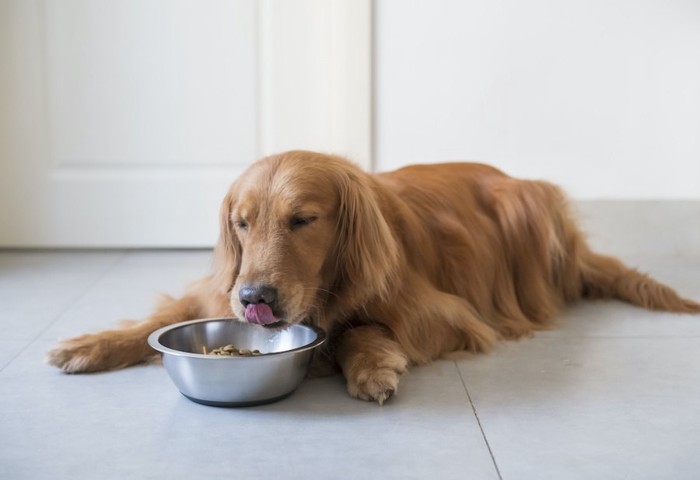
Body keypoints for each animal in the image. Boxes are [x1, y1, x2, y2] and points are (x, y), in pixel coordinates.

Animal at [45, 150, 700, 404]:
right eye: (241, 223)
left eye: (303, 220)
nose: (255, 297)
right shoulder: (218, 288)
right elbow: (161, 319)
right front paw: (91, 344)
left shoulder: (445, 314)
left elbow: (359, 328)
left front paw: (369, 365)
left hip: (528, 207)